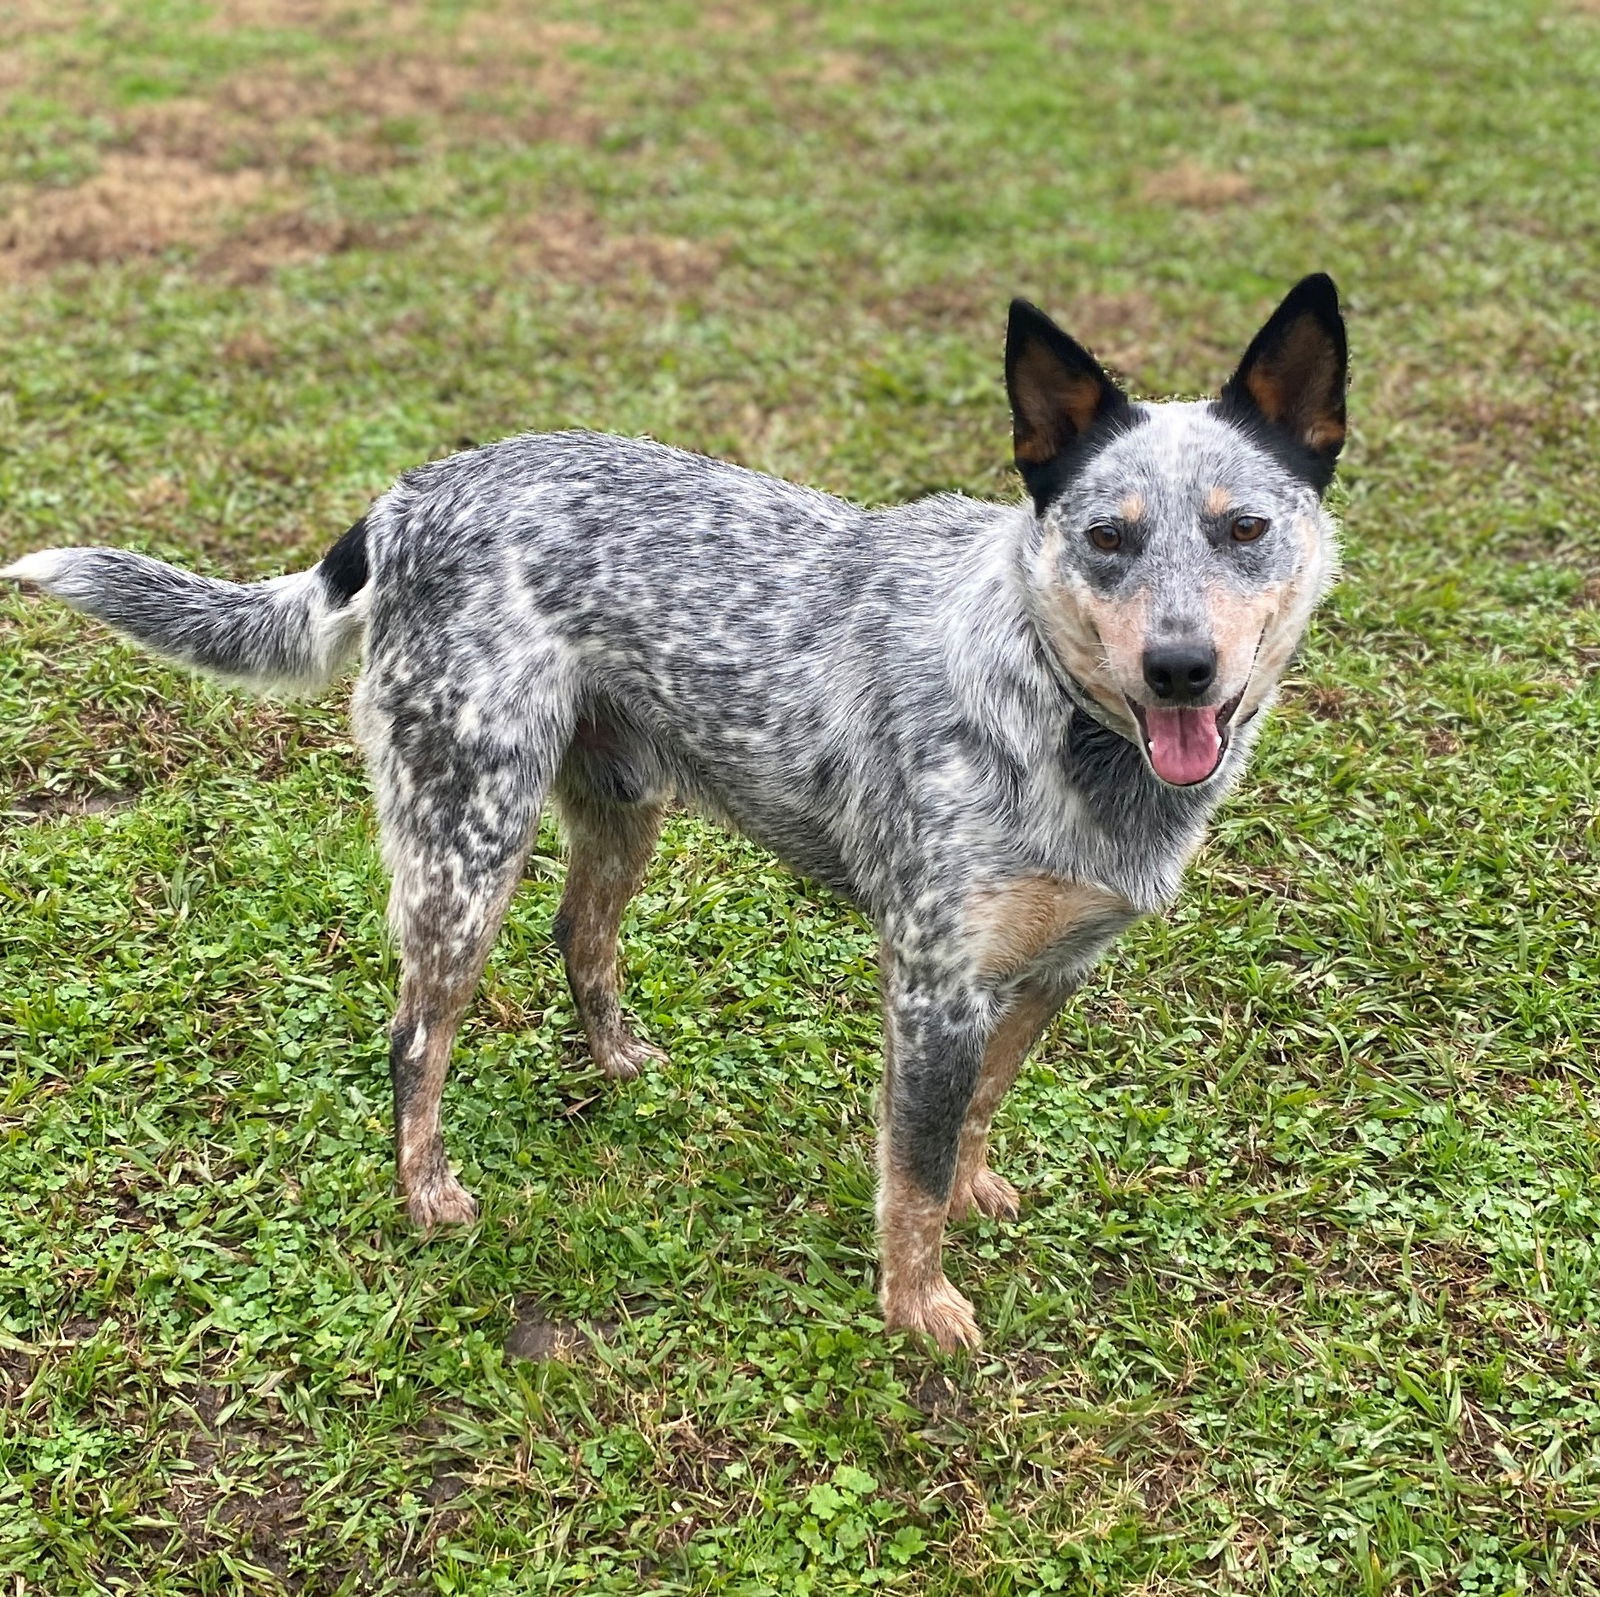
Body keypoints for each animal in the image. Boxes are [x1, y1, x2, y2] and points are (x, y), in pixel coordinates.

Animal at [3, 272, 1350, 1350]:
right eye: (1107, 537)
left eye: (1245, 528)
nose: (1181, 668)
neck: (1059, 713)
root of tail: (402, 500)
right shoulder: (932, 987)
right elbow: (907, 1175)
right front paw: (916, 1307)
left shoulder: (1050, 969)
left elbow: (976, 1115)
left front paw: (975, 1193)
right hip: (464, 844)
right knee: (414, 1035)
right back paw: (426, 1192)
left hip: (619, 806)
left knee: (578, 937)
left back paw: (616, 1062)